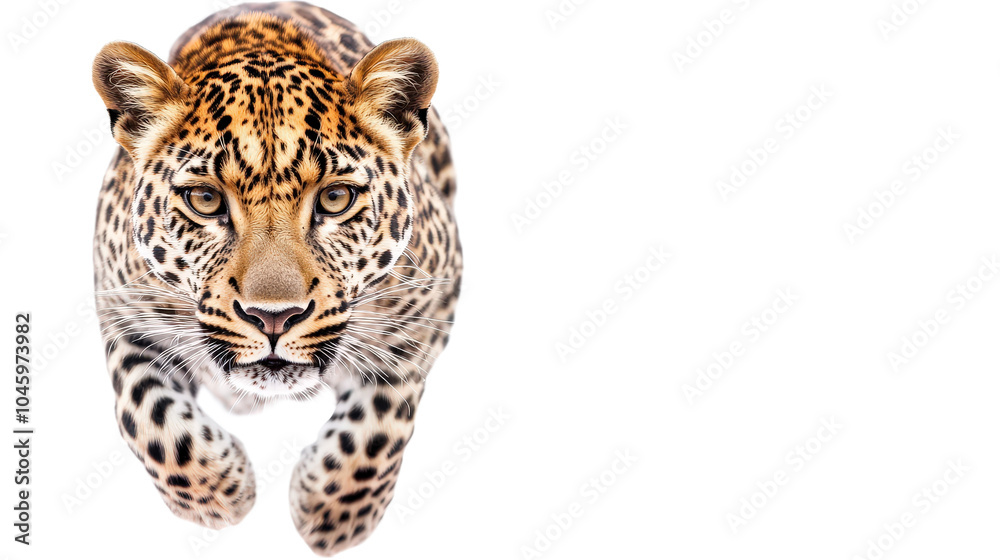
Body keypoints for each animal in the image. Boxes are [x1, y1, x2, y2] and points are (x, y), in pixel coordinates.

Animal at [90, 2, 461, 555]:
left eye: (335, 198)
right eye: (205, 200)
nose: (273, 318)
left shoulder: (430, 306)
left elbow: (382, 417)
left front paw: (332, 515)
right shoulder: (123, 312)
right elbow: (150, 420)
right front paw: (220, 495)